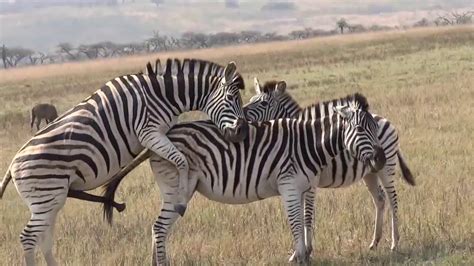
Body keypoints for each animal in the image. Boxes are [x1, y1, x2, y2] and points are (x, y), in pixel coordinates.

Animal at [0, 58, 250, 266]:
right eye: (231, 99)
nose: (242, 132)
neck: (161, 95)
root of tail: (12, 166)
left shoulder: (159, 134)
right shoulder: (149, 132)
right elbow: (181, 161)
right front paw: (179, 200)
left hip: (49, 200)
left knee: (43, 238)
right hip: (46, 196)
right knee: (28, 237)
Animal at [96, 92, 386, 262]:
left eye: (374, 127)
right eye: (361, 129)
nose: (381, 159)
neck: (308, 144)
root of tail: (163, 137)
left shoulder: (305, 188)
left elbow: (305, 222)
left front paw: (304, 255)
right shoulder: (290, 186)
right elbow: (296, 225)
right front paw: (300, 257)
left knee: (159, 230)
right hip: (176, 188)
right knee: (158, 228)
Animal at [244, 77, 414, 251]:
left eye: (263, 103)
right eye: (251, 99)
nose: (241, 116)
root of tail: (387, 120)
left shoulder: (311, 183)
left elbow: (307, 214)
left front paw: (308, 248)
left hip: (386, 167)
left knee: (393, 199)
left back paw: (394, 243)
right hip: (370, 172)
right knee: (380, 199)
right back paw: (374, 242)